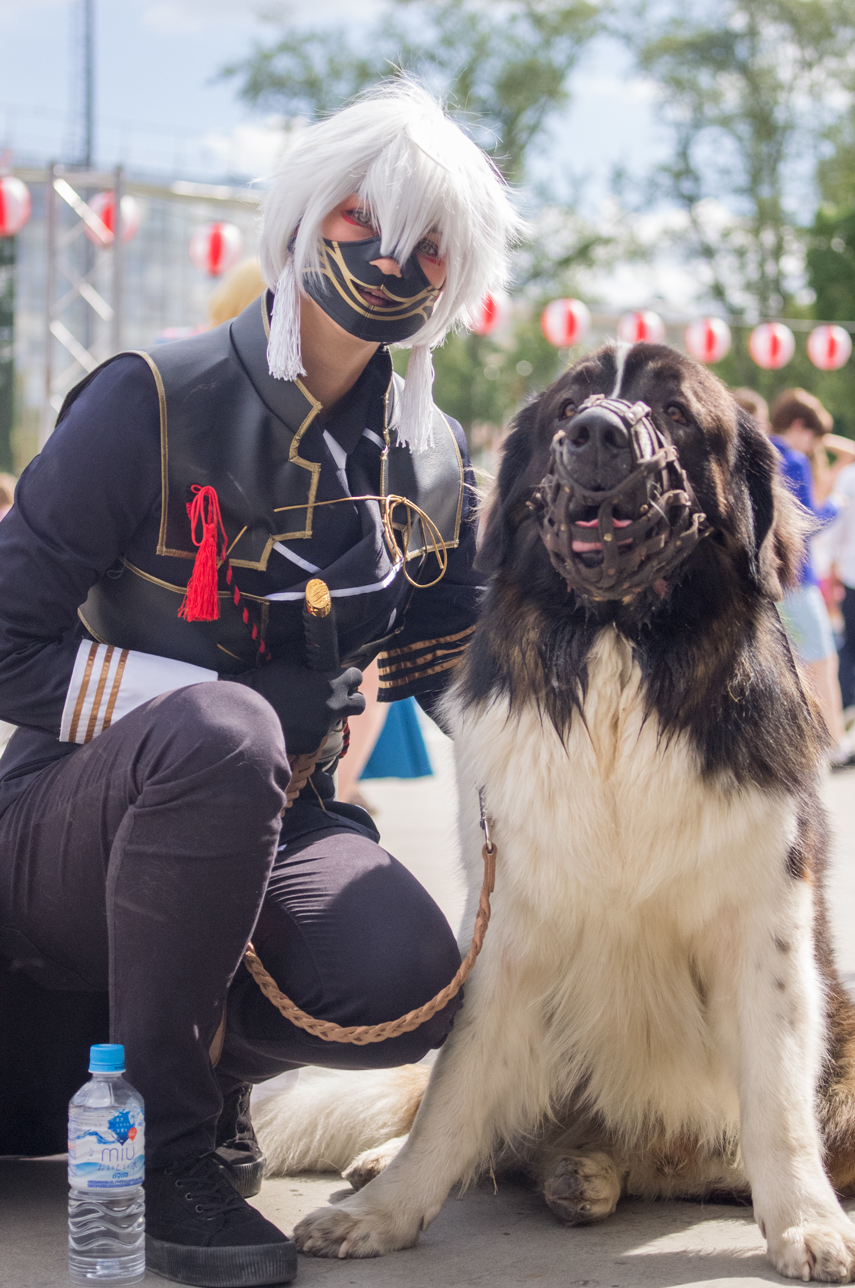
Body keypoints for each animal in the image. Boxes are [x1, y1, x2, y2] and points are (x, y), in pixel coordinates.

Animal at [258, 347, 855, 1282]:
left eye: (674, 412)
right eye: (570, 406)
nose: (597, 435)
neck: (616, 659)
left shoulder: (764, 923)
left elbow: (777, 1098)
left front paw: (805, 1221)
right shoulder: (505, 927)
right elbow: (454, 1089)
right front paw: (388, 1209)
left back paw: (592, 1174)